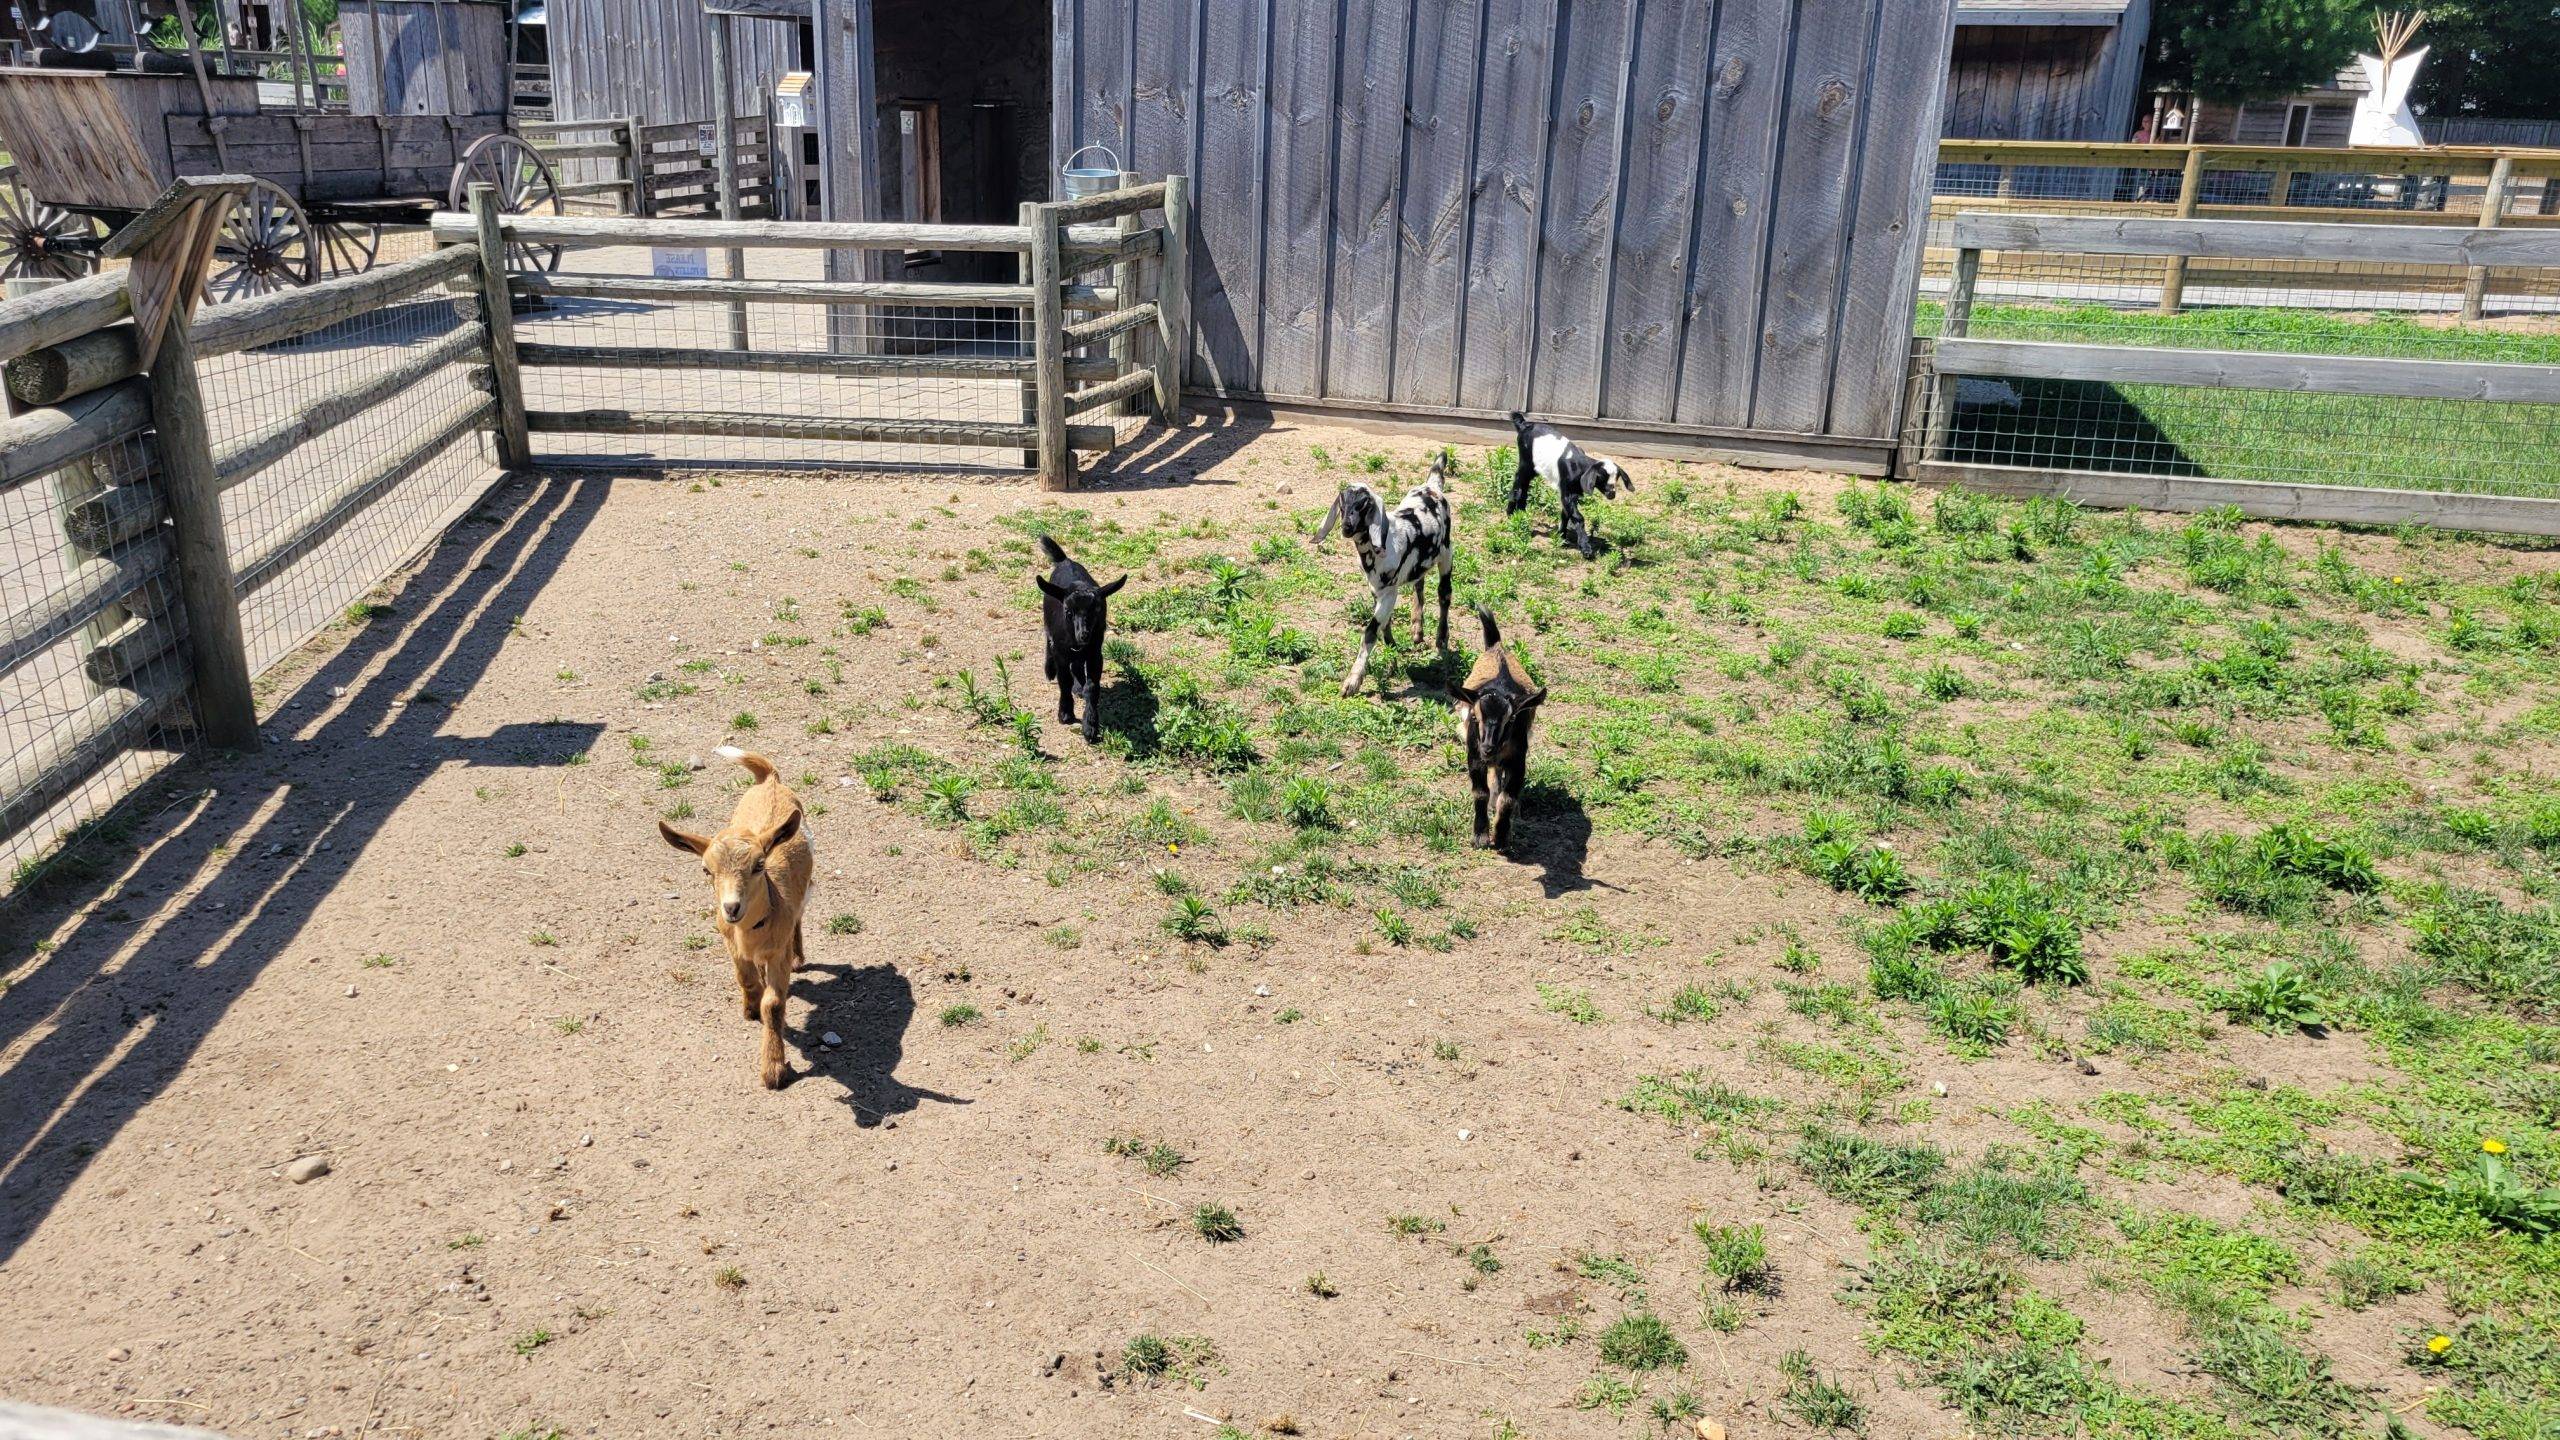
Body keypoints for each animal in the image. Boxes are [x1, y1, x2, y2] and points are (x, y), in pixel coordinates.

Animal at [660, 743, 808, 1081]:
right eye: (706, 870)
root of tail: (769, 780)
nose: (731, 907)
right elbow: (746, 978)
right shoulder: (731, 943)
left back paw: (799, 957)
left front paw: (773, 1068)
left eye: (759, 865)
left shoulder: (777, 951)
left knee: (799, 917)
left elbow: (774, 1004)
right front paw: (750, 1008)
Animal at [1320, 448, 1464, 696]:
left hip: (1446, 553)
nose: (1346, 527)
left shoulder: (1389, 591)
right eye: (1342, 502)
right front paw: (1392, 651)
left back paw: (1441, 640)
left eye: (1364, 504)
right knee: (1419, 582)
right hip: (1421, 563)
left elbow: (1370, 631)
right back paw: (1417, 628)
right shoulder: (1376, 589)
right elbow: (1384, 623)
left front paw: (1353, 681)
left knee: (1444, 593)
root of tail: (1433, 485)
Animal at [1495, 412, 1638, 558]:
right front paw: (1586, 548)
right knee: (1518, 484)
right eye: (1601, 477)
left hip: (1533, 468)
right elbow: (1577, 517)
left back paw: (1521, 513)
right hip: (1526, 462)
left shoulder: (1573, 493)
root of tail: (1524, 424)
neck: (1578, 467)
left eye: (1617, 477)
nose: (1611, 493)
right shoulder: (1566, 491)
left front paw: (1562, 538)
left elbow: (1566, 514)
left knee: (1524, 488)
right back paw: (1511, 514)